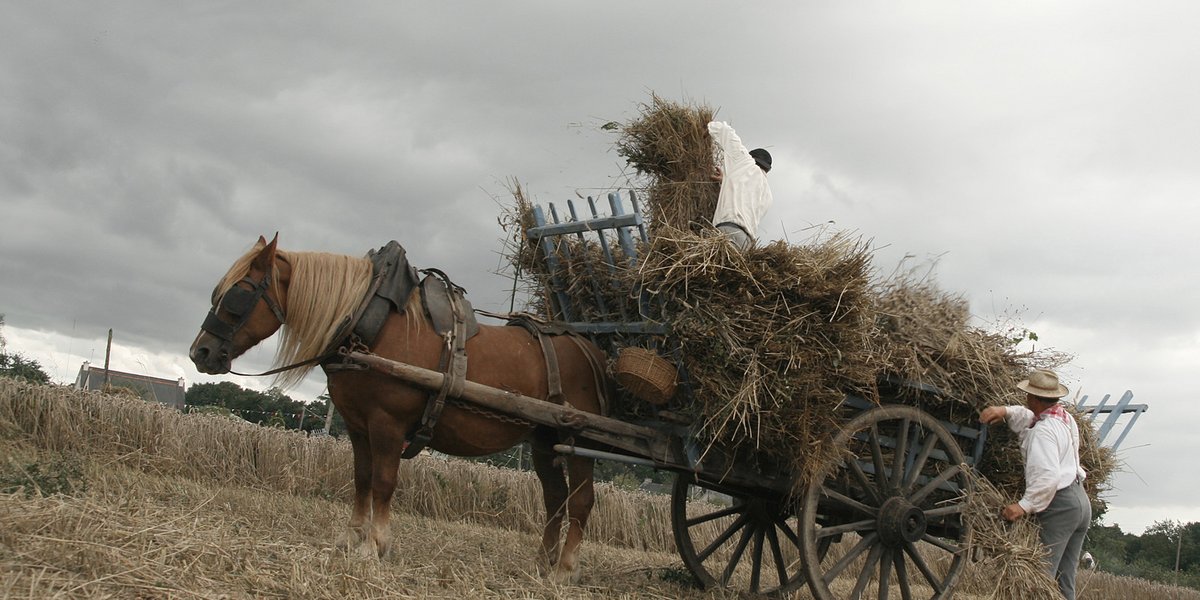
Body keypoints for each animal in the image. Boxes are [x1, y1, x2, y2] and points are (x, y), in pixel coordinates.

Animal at [193, 234, 614, 580]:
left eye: (239, 294)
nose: (201, 353)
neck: (369, 325)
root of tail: (592, 350)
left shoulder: (387, 424)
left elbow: (384, 480)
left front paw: (374, 545)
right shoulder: (357, 424)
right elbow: (362, 478)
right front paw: (352, 537)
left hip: (578, 439)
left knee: (582, 501)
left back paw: (565, 569)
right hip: (544, 440)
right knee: (555, 498)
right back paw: (542, 562)